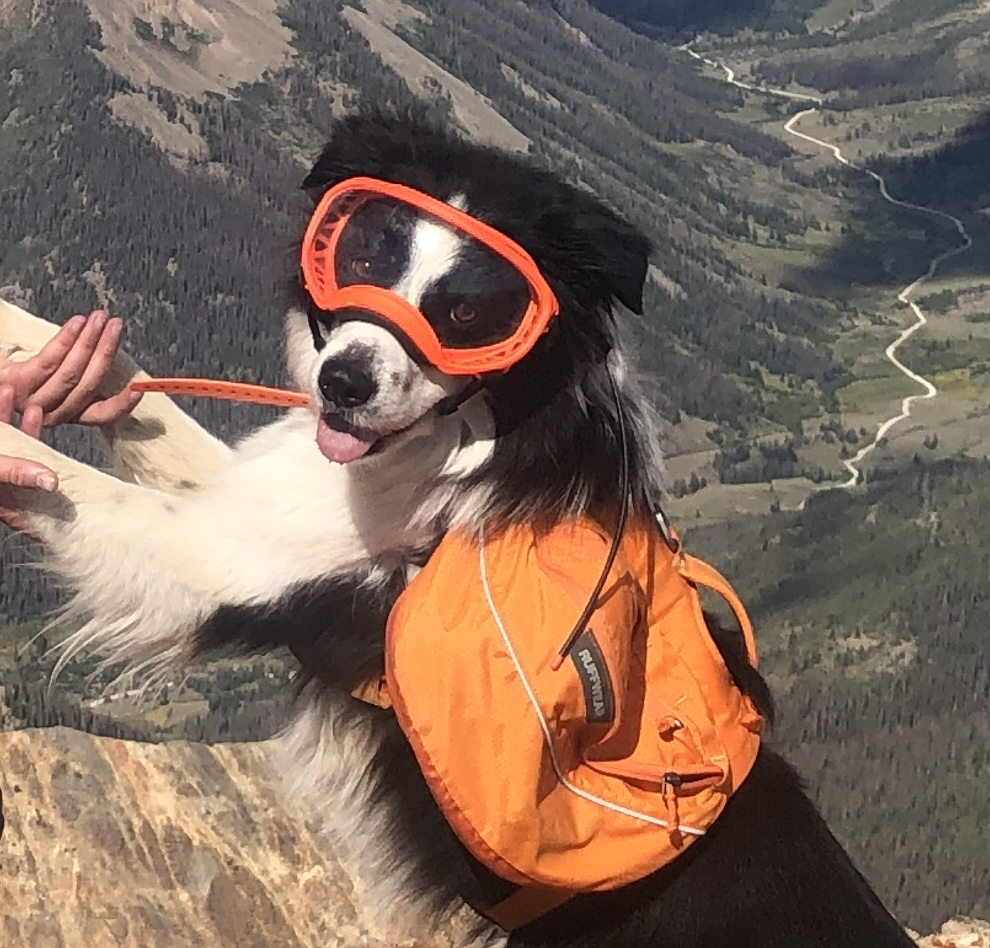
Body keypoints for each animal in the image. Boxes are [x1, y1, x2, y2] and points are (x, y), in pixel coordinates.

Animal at [0, 111, 916, 948]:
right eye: (364, 256)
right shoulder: (255, 498)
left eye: (471, 315)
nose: (342, 383)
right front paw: (29, 338)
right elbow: (137, 392)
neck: (454, 454)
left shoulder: (208, 558)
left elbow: (77, 480)